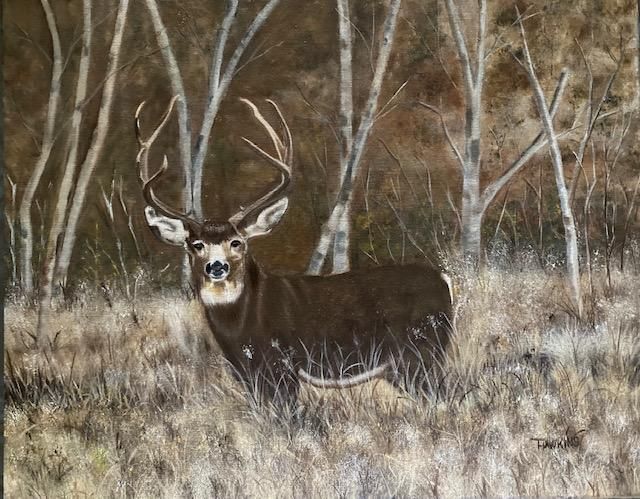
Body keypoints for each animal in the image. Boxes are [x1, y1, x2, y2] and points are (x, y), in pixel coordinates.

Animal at [135, 96, 455, 406]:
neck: (241, 327)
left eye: (237, 242)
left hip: (420, 350)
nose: (217, 266)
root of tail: (444, 280)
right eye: (196, 245)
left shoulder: (283, 364)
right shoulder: (247, 374)